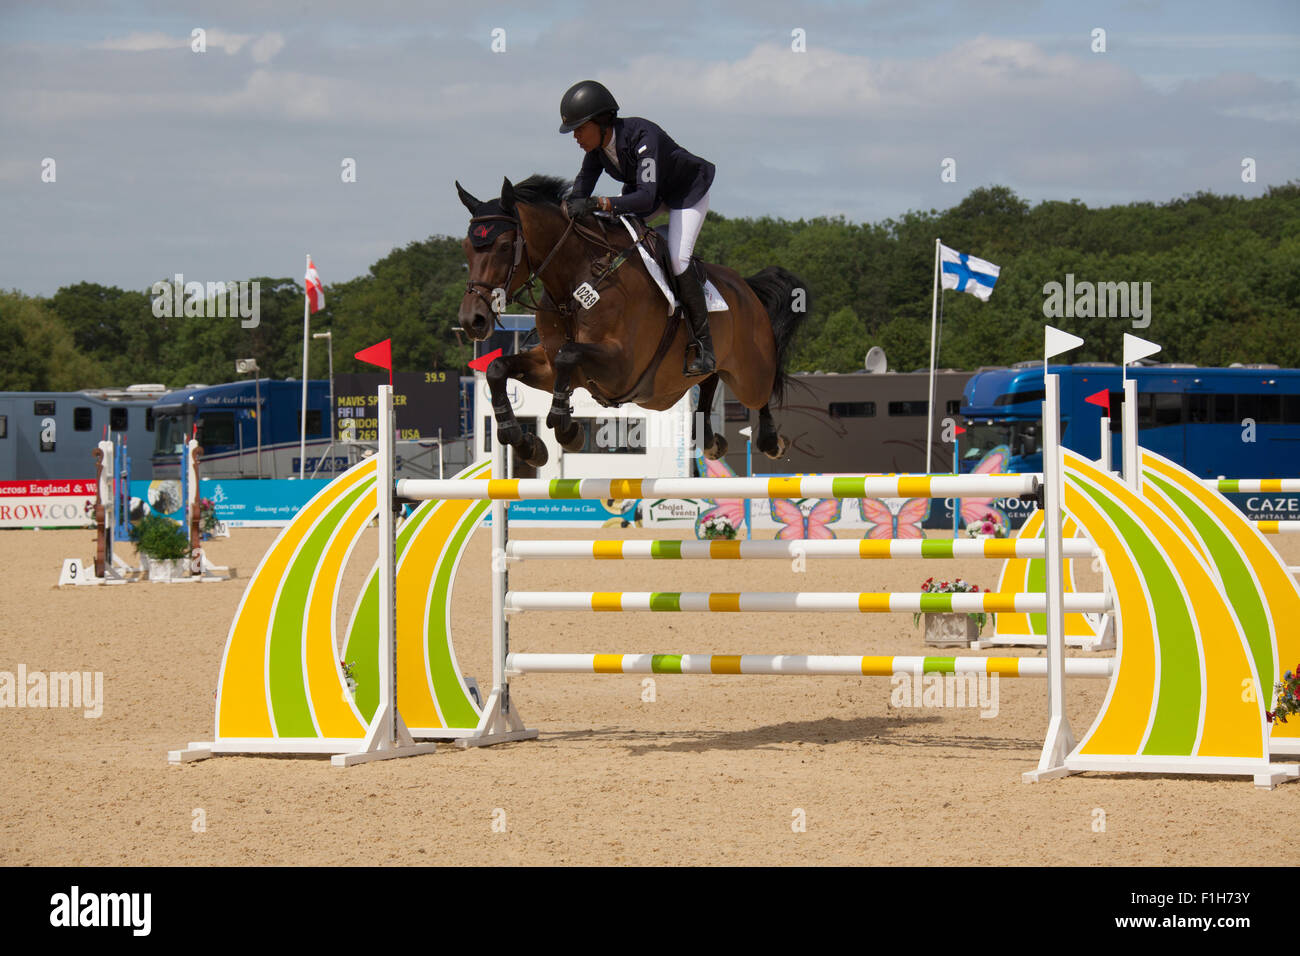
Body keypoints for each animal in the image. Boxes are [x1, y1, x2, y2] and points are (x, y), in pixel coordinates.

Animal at [452, 174, 806, 470]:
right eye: (466, 248)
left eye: (504, 246)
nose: (473, 320)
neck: (574, 285)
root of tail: (745, 286)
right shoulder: (550, 366)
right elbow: (498, 368)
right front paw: (525, 443)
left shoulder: (622, 367)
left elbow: (569, 355)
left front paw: (568, 431)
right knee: (709, 379)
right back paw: (711, 440)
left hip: (749, 373)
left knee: (761, 391)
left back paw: (771, 441)